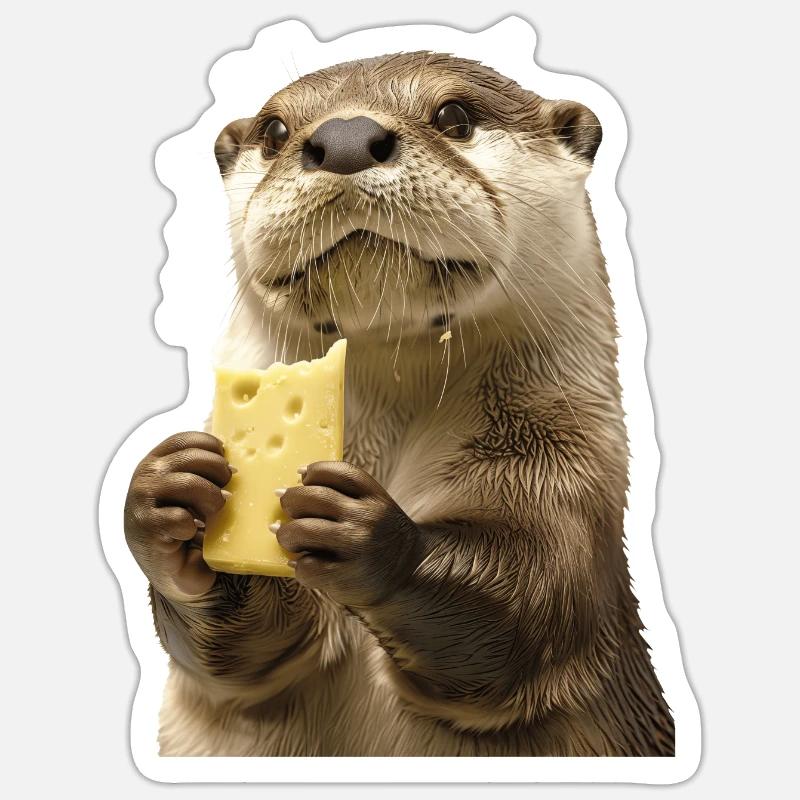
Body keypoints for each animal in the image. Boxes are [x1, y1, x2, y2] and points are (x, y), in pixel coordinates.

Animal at [124, 52, 675, 756]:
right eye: (275, 130)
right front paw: (168, 491)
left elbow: (528, 605)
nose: (346, 137)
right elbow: (241, 657)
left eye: (455, 114)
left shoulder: (562, 469)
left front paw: (369, 531)